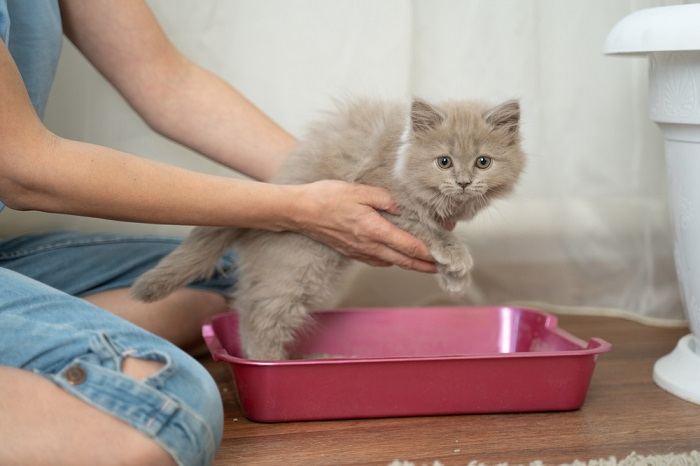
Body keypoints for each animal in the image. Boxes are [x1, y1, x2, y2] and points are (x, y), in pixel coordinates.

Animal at [131, 97, 524, 360]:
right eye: (443, 161)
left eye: (483, 162)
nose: (463, 182)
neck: (399, 157)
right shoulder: (384, 201)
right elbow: (426, 227)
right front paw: (455, 257)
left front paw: (453, 278)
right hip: (299, 266)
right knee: (257, 317)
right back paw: (271, 365)